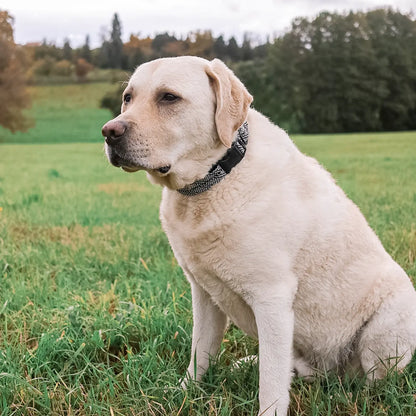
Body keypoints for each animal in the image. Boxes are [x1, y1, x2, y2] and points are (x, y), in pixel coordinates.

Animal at [101, 56, 416, 416]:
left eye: (169, 97)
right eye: (128, 98)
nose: (109, 132)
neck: (212, 181)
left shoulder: (272, 298)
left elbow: (271, 382)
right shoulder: (203, 292)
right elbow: (200, 352)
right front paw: (183, 394)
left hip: (392, 320)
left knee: (369, 382)